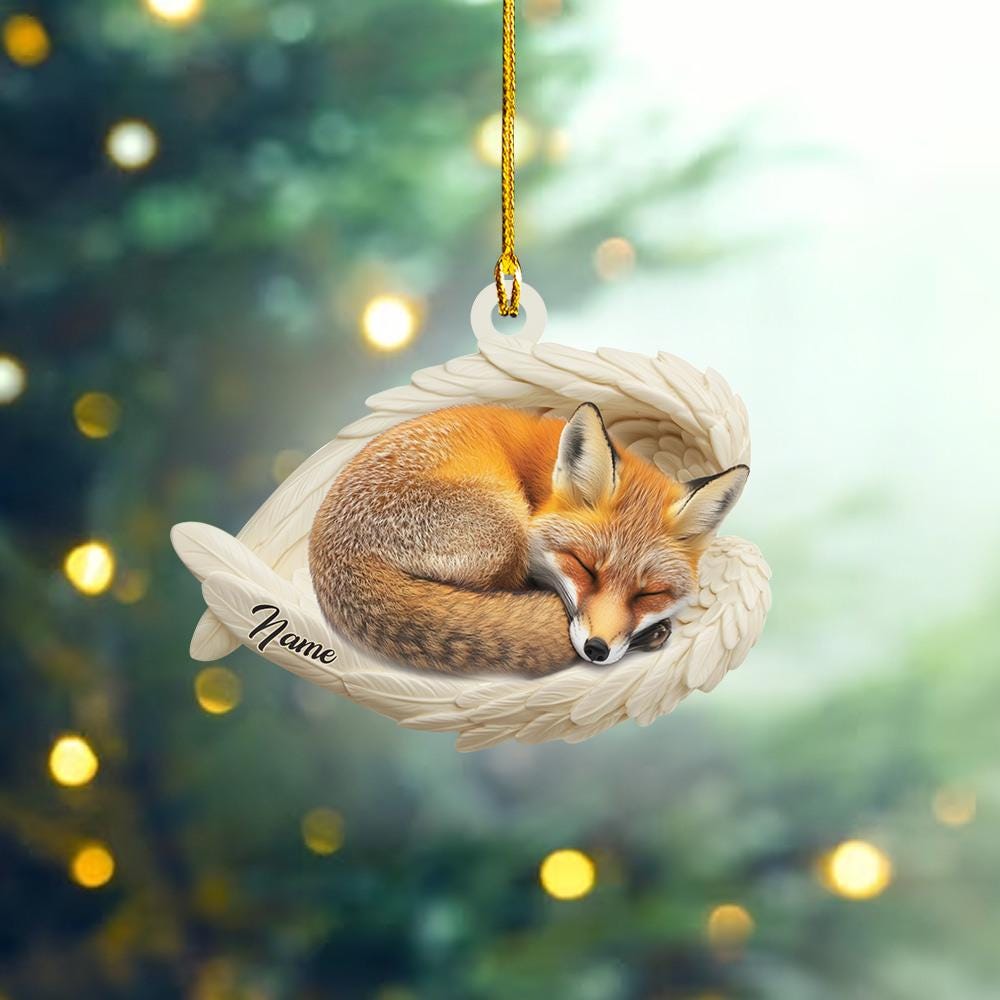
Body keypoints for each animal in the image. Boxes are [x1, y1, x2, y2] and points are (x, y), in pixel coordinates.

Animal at [309, 402, 748, 676]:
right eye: (585, 567)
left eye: (649, 593)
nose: (597, 650)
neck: (542, 477)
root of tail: (332, 554)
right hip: (507, 530)